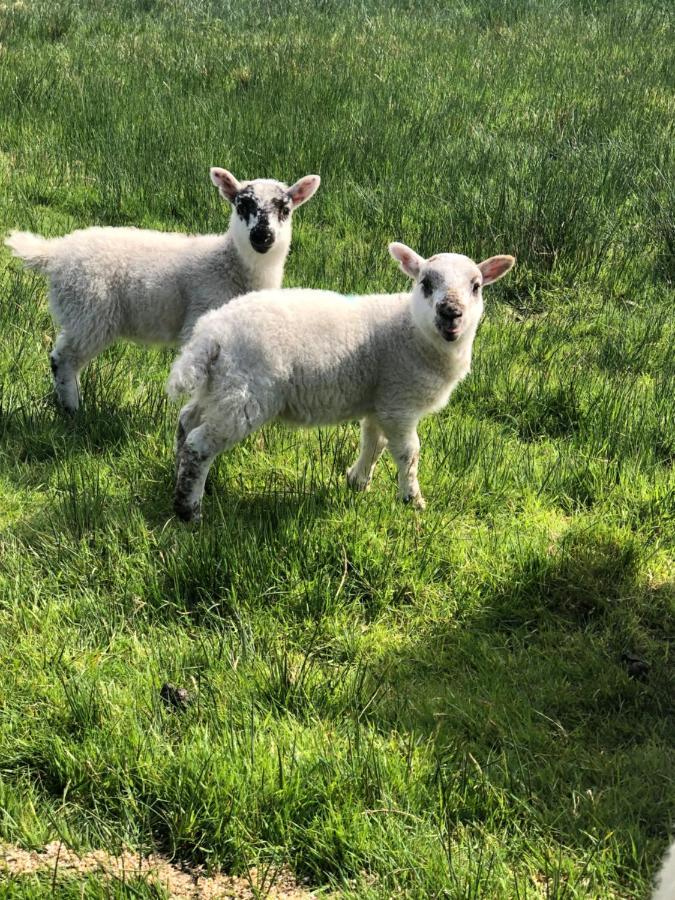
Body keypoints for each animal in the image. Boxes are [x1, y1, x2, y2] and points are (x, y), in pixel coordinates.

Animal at [4, 167, 322, 414]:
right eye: (241, 206)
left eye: (285, 209)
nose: (262, 236)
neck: (230, 263)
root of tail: (55, 253)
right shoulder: (201, 317)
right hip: (89, 312)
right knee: (64, 360)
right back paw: (73, 409)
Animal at [166, 241, 516, 520]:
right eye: (425, 282)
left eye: (476, 286)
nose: (451, 313)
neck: (412, 331)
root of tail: (211, 334)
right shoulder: (399, 402)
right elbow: (408, 452)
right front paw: (412, 500)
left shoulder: (380, 401)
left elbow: (373, 443)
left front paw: (357, 482)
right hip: (245, 396)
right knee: (200, 444)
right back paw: (188, 509)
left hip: (220, 388)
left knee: (186, 421)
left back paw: (181, 476)